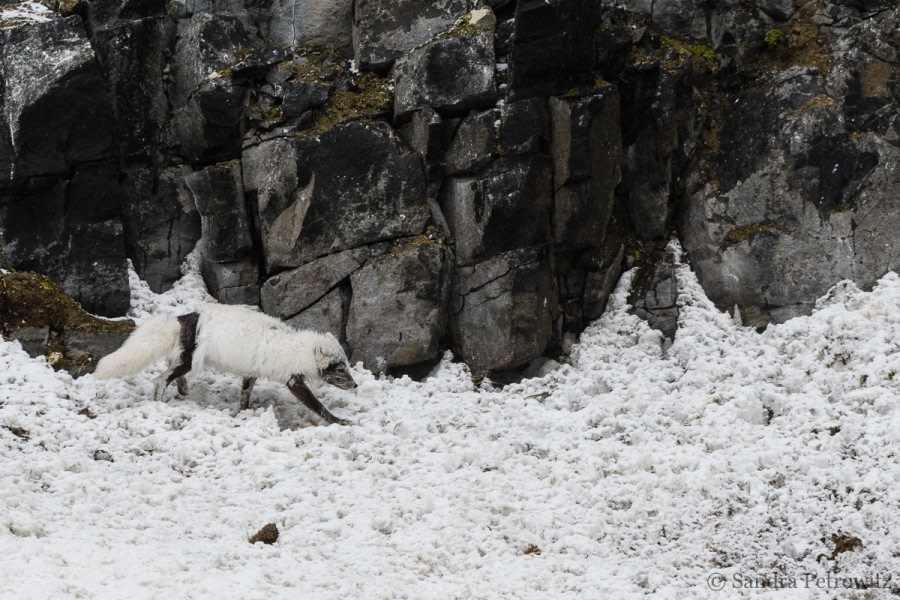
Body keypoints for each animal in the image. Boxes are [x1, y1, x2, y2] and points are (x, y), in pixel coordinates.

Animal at [94, 304, 356, 426]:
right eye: (340, 368)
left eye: (347, 364)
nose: (355, 386)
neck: (296, 349)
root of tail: (185, 317)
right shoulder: (293, 381)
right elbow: (317, 405)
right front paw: (338, 421)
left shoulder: (251, 374)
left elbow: (244, 395)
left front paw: (243, 413)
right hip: (188, 361)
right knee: (160, 379)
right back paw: (159, 403)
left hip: (183, 359)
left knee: (170, 372)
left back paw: (183, 390)